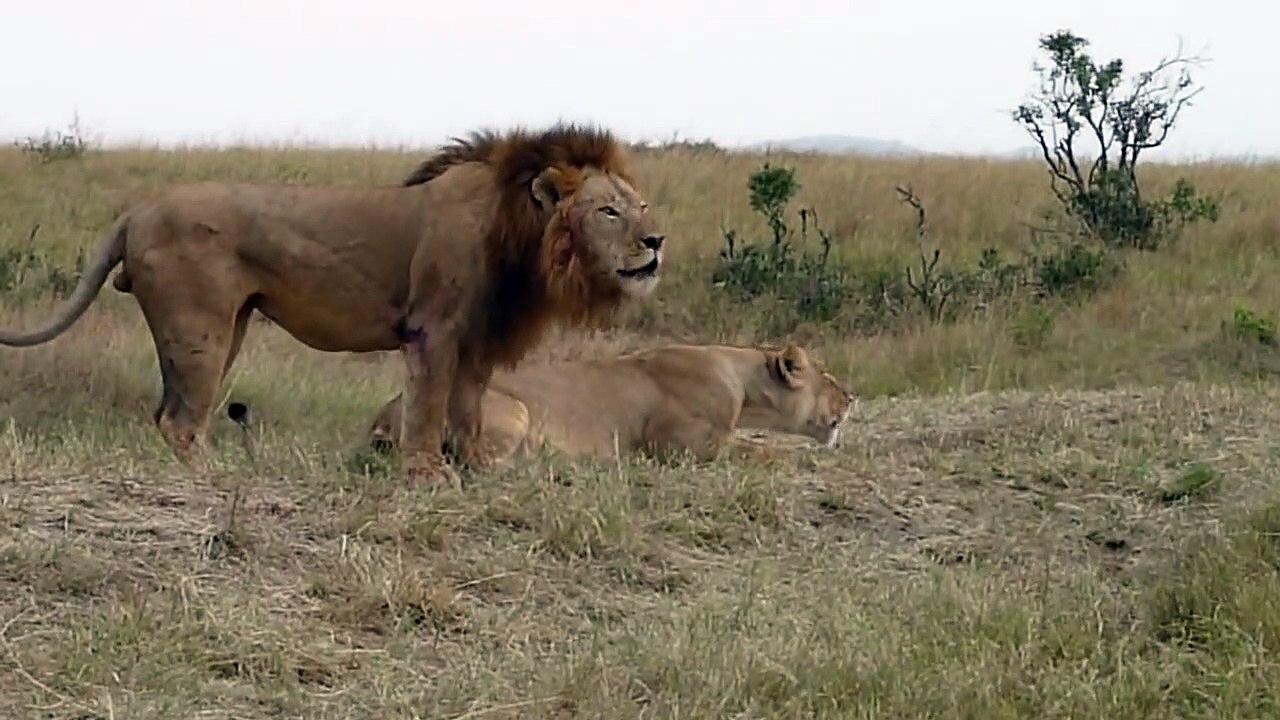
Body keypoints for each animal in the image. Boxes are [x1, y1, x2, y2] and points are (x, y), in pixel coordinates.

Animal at [0, 123, 665, 485]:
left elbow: (467, 410)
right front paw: (427, 474)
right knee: (180, 421)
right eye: (608, 211)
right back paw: (220, 479)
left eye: (639, 205)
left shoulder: (478, 341)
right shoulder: (433, 328)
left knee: (174, 415)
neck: (523, 239)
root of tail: (137, 210)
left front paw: (474, 465)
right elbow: (428, 407)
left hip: (226, 325)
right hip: (200, 327)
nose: (657, 241)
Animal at [363, 341, 855, 466]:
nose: (852, 398)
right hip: (513, 409)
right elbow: (760, 449)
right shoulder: (679, 446)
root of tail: (386, 411)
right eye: (829, 378)